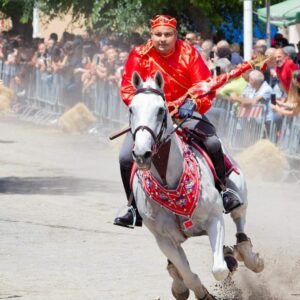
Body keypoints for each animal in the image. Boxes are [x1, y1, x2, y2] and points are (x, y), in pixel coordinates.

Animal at [129, 71, 262, 298]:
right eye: (131, 108)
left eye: (161, 110)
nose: (141, 154)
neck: (171, 185)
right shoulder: (164, 239)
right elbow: (187, 274)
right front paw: (194, 291)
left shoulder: (214, 218)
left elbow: (219, 269)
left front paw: (229, 259)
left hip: (239, 191)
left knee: (239, 219)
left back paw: (247, 256)